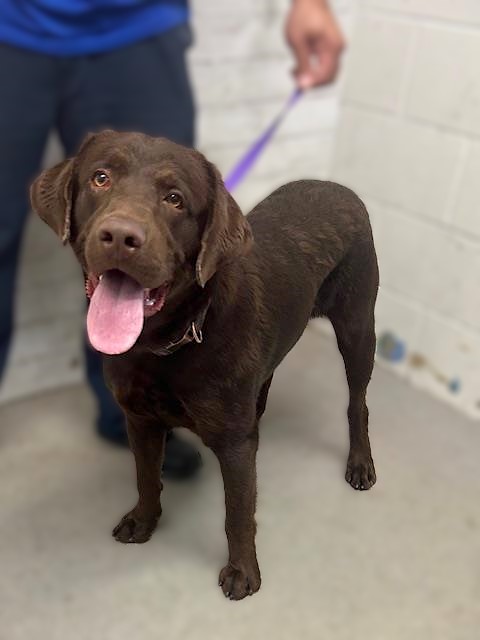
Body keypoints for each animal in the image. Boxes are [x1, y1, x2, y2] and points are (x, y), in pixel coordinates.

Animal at [31, 130, 379, 600]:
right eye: (100, 178)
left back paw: (359, 462)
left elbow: (238, 509)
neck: (168, 343)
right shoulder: (140, 420)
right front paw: (144, 521)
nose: (119, 235)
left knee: (357, 402)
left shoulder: (234, 445)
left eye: (175, 199)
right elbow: (146, 477)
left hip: (358, 329)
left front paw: (243, 571)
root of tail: (339, 187)